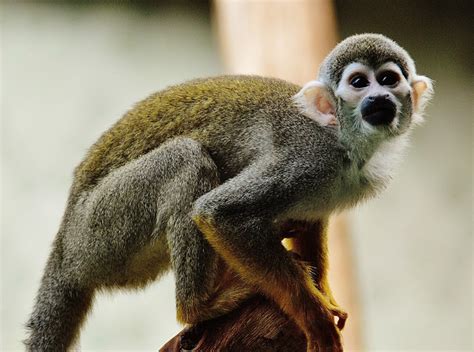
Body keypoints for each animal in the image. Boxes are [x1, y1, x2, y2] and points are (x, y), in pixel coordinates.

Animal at [25, 33, 434, 352]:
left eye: (388, 79)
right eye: (359, 83)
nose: (378, 98)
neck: (341, 140)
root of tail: (64, 246)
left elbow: (309, 223)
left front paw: (325, 296)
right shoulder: (306, 159)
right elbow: (219, 212)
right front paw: (313, 316)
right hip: (101, 227)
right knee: (186, 158)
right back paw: (198, 306)